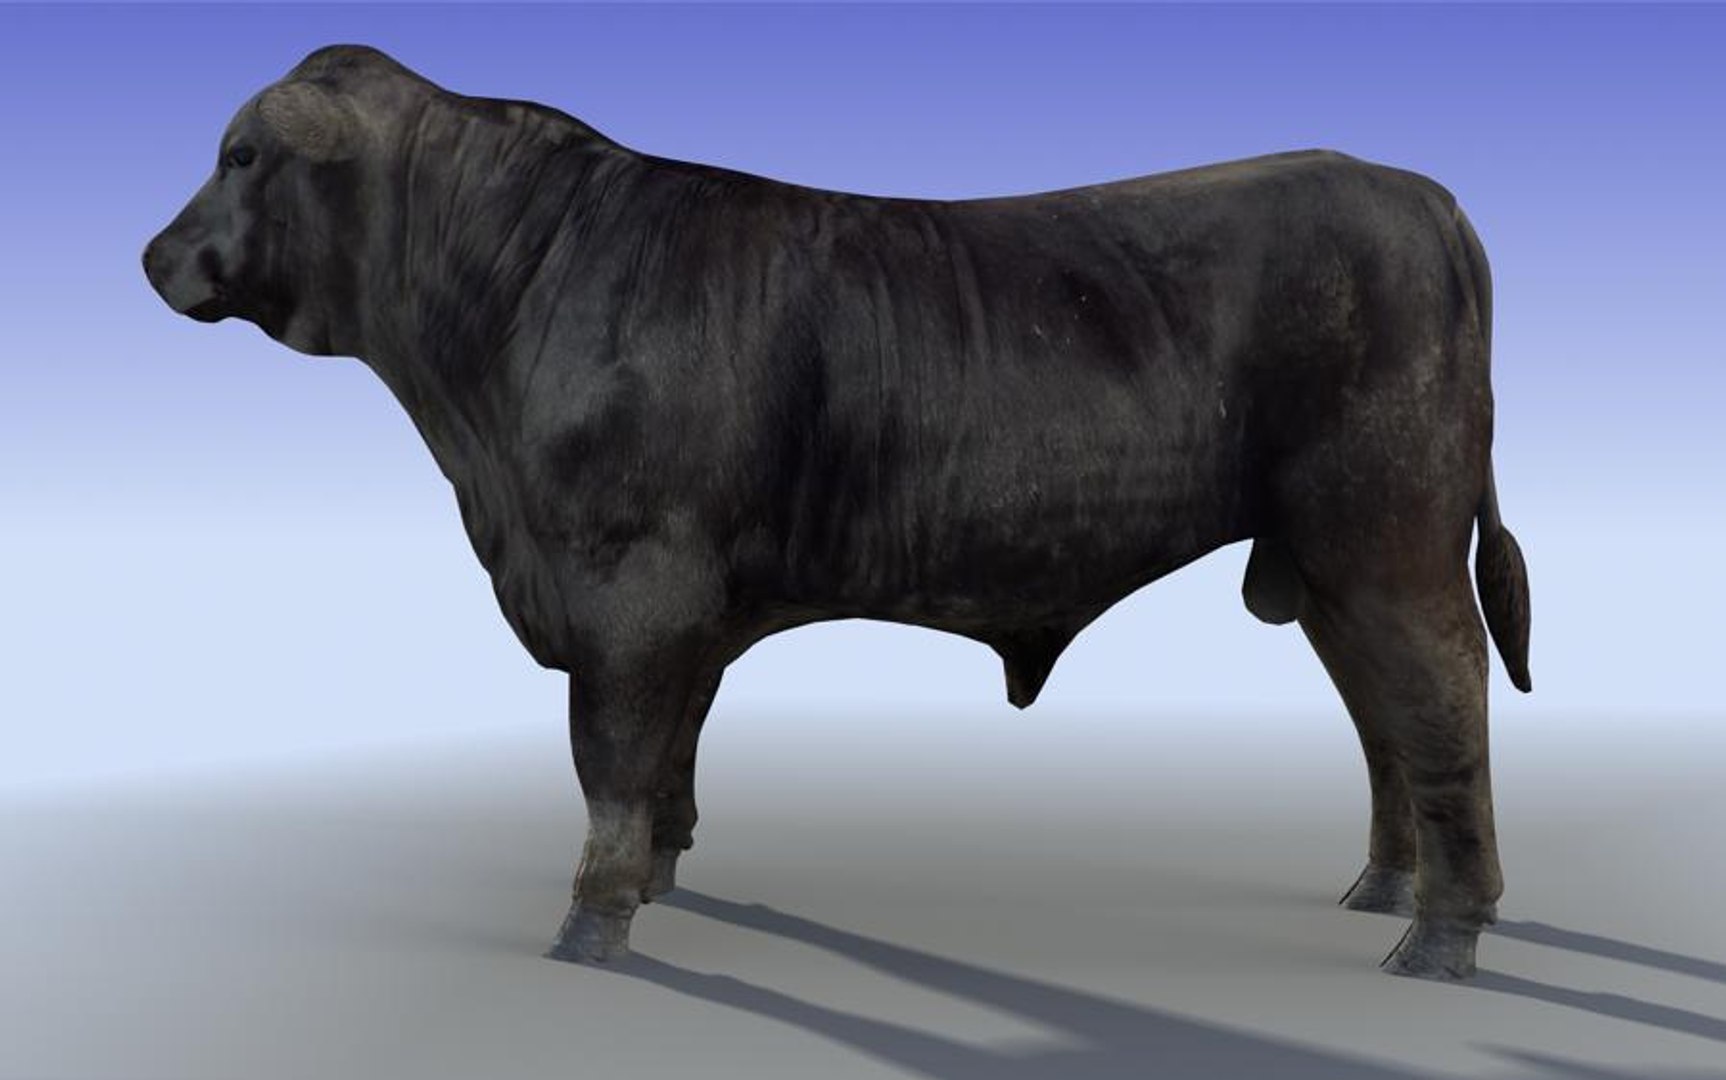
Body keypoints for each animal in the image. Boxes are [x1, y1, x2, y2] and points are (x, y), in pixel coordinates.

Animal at [144, 44, 1532, 980]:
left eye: (242, 154)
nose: (155, 259)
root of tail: (1411, 190)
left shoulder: (630, 591)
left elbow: (610, 760)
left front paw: (590, 928)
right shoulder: (687, 606)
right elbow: (672, 756)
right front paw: (659, 882)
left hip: (1388, 538)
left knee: (1442, 693)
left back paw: (1441, 936)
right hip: (1327, 560)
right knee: (1382, 715)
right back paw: (1380, 889)